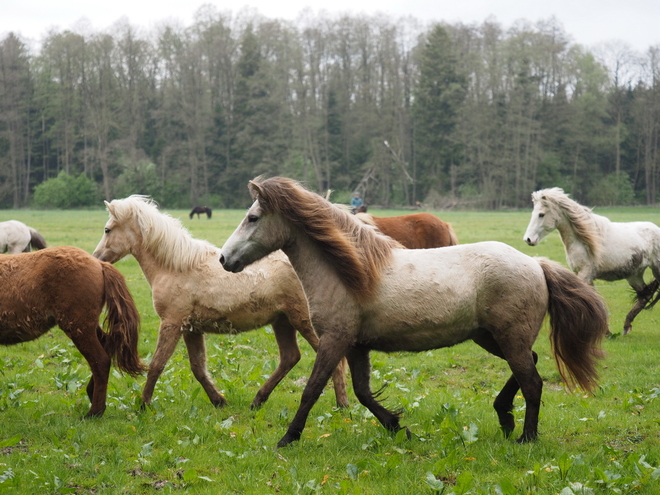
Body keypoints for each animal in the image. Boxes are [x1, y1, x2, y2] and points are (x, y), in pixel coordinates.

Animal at [0, 246, 145, 416]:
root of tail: (99, 263)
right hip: (86, 326)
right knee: (108, 345)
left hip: (78, 327)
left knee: (101, 361)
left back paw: (94, 412)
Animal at [94, 197, 350, 410]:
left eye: (107, 229)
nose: (96, 258)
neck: (175, 267)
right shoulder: (190, 329)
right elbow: (198, 367)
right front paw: (219, 400)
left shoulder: (171, 323)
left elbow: (157, 364)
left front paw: (144, 405)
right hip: (283, 322)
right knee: (290, 358)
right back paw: (258, 400)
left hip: (302, 321)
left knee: (334, 361)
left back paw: (342, 405)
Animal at [220, 178, 608, 450]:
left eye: (252, 217)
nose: (224, 259)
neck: (350, 272)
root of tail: (536, 263)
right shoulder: (356, 345)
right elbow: (363, 392)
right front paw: (398, 427)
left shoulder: (335, 340)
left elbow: (312, 389)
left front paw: (288, 439)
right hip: (491, 338)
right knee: (532, 363)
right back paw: (504, 418)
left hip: (507, 337)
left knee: (533, 382)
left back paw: (525, 437)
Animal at [524, 188, 660, 336]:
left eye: (541, 214)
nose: (528, 239)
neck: (582, 241)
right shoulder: (585, 275)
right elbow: (594, 299)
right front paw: (606, 332)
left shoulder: (585, 273)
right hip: (634, 275)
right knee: (644, 296)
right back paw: (626, 327)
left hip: (656, 269)